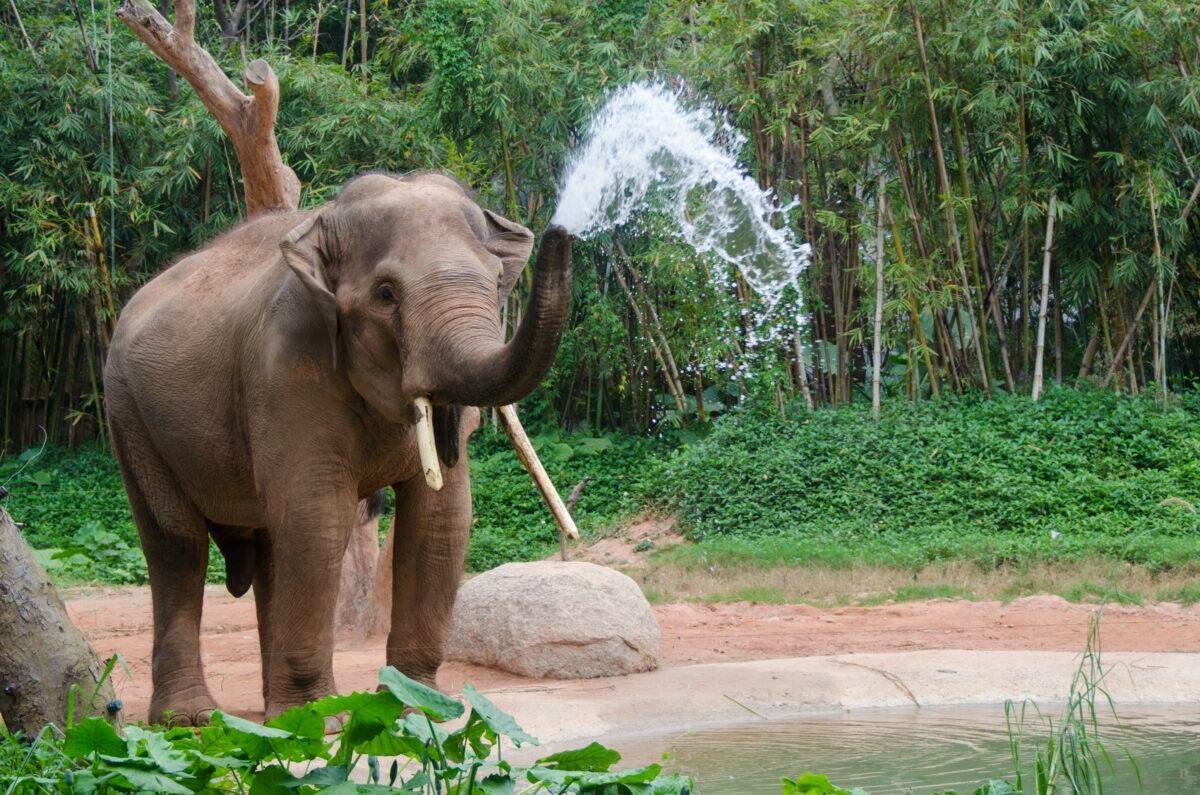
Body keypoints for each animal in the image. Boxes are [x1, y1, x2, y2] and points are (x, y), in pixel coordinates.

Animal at [103, 172, 572, 725]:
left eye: (498, 281)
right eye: (386, 293)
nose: (563, 231)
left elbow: (440, 518)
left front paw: (417, 709)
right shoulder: (286, 369)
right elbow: (317, 516)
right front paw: (318, 719)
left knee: (269, 548)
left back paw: (271, 713)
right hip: (129, 414)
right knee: (177, 544)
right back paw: (194, 718)